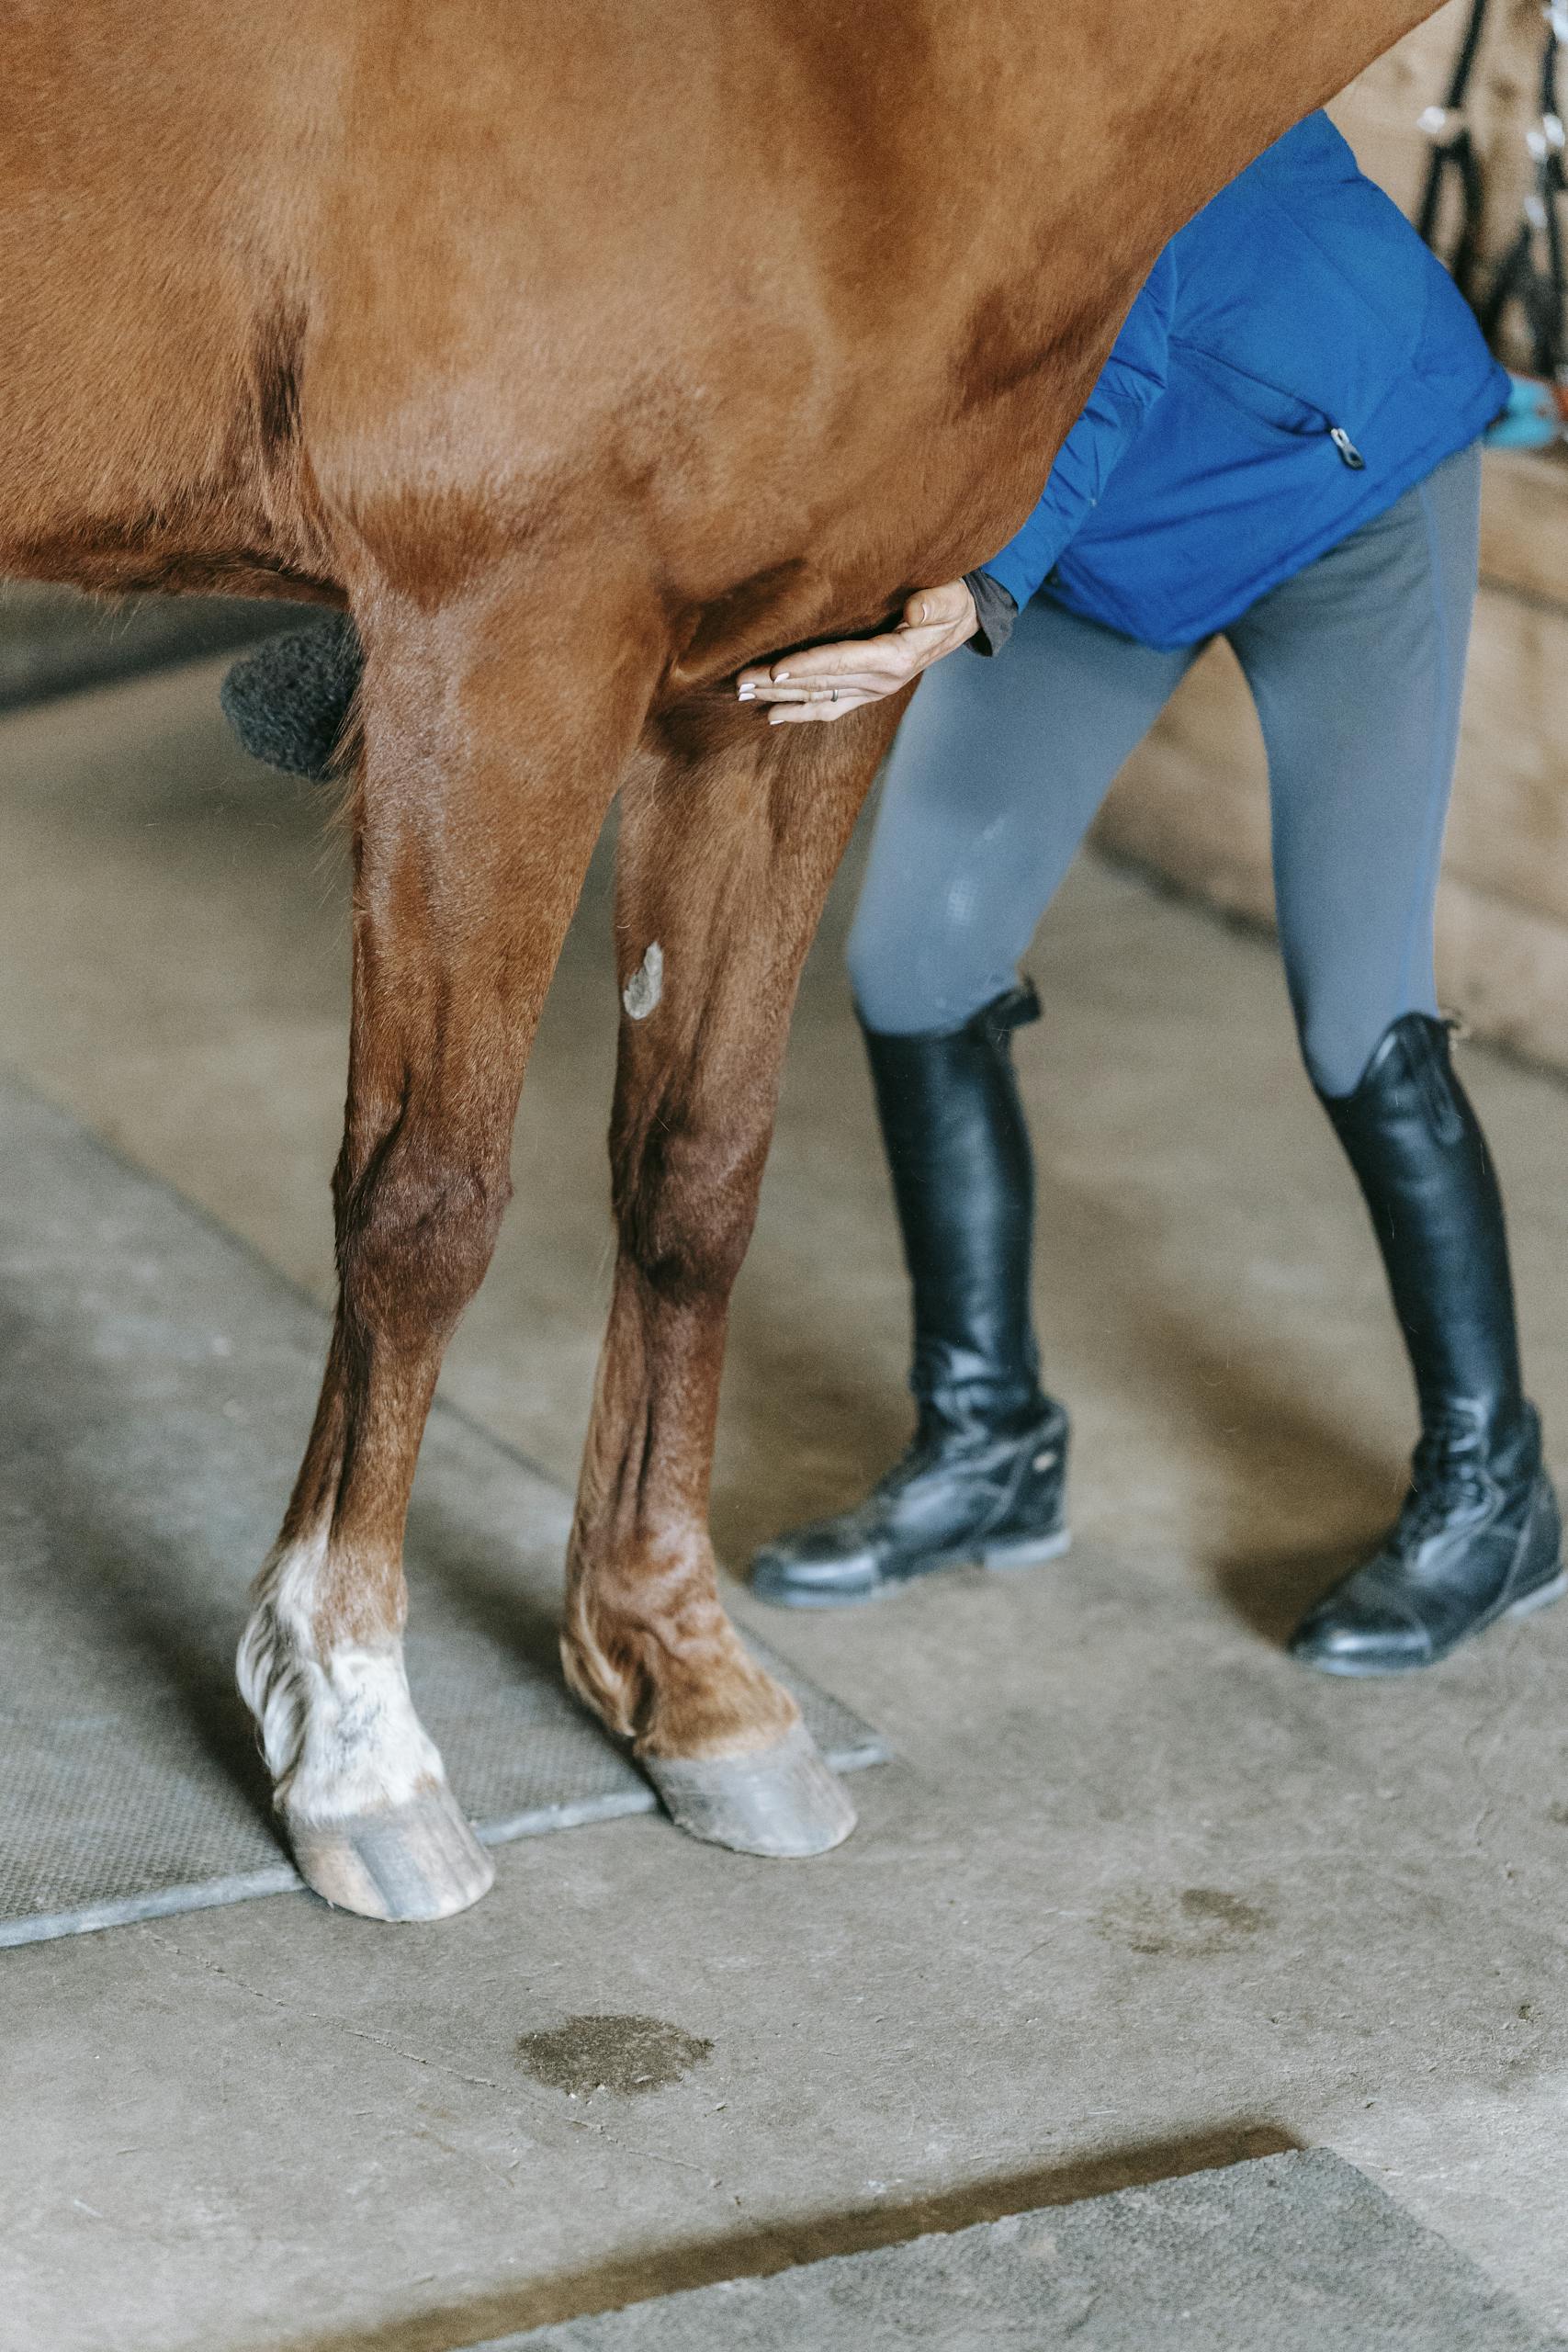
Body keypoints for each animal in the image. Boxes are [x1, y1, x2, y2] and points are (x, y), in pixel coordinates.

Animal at [1, 0, 1444, 1919]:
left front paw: (678, 1675)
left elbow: (696, 1171)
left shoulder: (789, 685)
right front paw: (355, 1738)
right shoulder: (504, 650)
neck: (854, 73)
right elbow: (425, 1206)